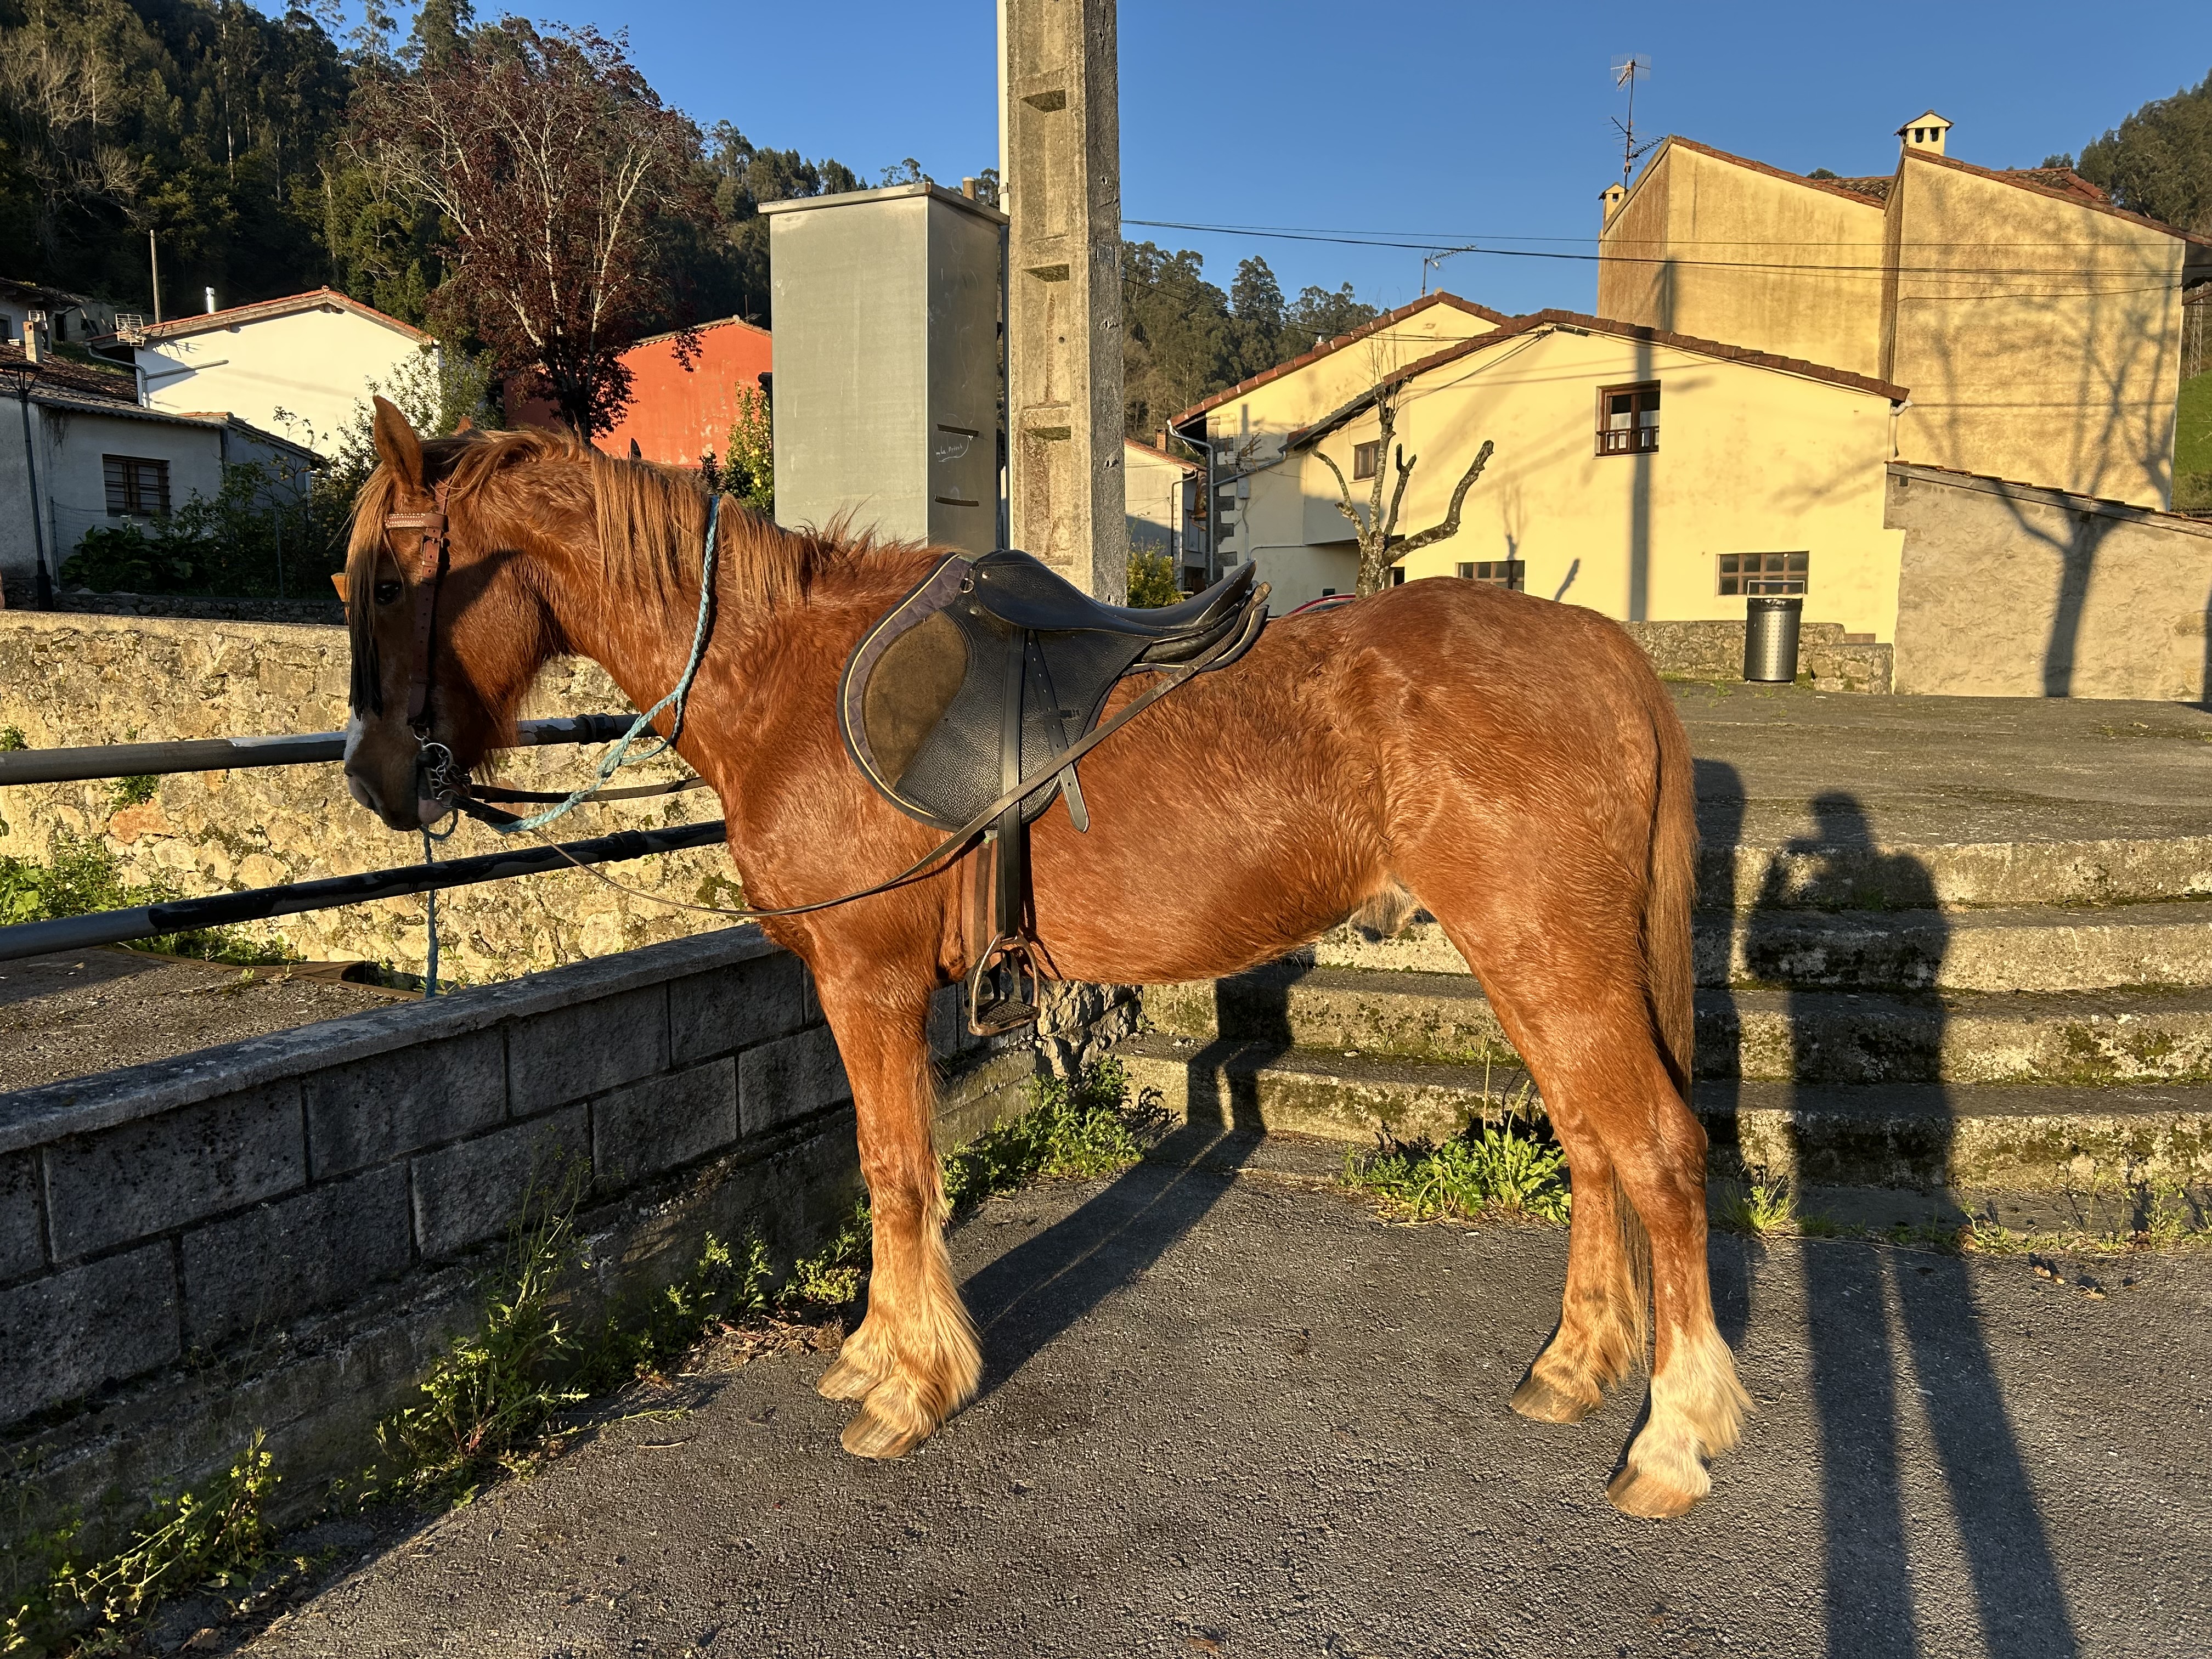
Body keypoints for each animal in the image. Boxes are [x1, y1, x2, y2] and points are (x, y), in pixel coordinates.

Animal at [341, 398, 1751, 1517]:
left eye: (395, 585)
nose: (372, 777)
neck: (780, 678)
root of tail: (1604, 650)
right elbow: (887, 1170)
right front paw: (878, 1352)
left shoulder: (866, 980)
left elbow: (896, 1173)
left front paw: (909, 1384)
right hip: (1532, 963)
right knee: (1590, 1146)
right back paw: (1575, 1368)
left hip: (1551, 959)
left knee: (1657, 1155)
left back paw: (1673, 1437)